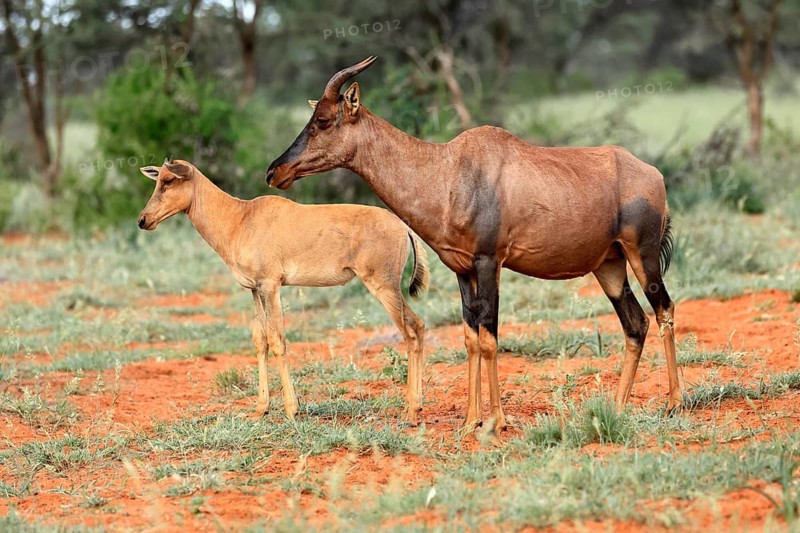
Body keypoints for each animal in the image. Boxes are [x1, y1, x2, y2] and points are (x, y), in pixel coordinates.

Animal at [137, 159, 429, 424]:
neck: (241, 217)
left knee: (411, 331)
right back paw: (414, 407)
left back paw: (410, 412)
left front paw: (291, 410)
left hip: (383, 286)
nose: (143, 220)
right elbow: (261, 341)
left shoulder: (271, 285)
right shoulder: (255, 290)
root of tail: (403, 227)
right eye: (157, 179)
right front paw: (260, 409)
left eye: (169, 181)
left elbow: (278, 341)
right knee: (419, 326)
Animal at [266, 56, 679, 439]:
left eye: (323, 120)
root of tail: (652, 173)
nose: (274, 171)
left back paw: (674, 404)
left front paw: (495, 422)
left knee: (664, 310)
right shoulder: (462, 270)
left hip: (641, 256)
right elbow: (471, 339)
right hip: (608, 265)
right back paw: (619, 407)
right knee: (636, 323)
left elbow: (491, 339)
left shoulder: (489, 262)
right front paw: (469, 422)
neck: (449, 170)